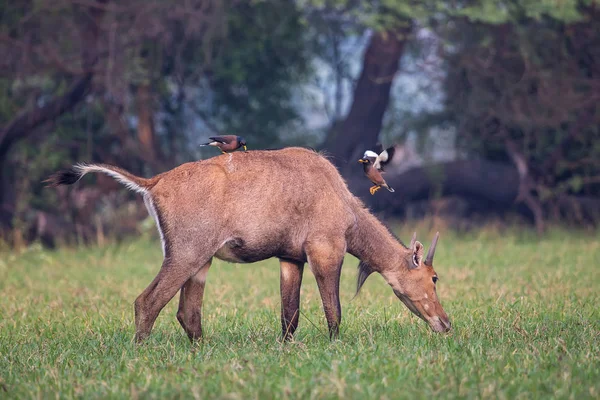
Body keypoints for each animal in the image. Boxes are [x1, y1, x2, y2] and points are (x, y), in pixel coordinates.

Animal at [47, 148, 450, 342]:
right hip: (187, 253)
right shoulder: (326, 249)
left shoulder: (290, 258)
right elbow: (333, 310)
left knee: (187, 313)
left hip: (201, 261)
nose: (446, 323)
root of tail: (153, 182)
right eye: (433, 278)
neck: (347, 206)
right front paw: (336, 346)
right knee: (147, 301)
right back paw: (140, 352)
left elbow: (290, 316)